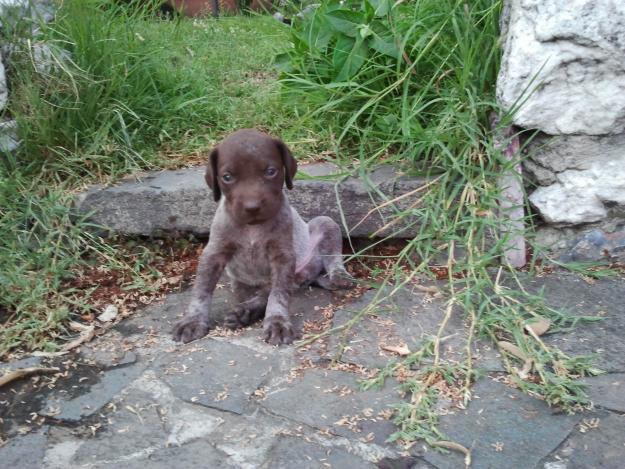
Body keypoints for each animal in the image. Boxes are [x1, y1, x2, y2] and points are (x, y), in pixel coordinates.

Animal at [173, 128, 354, 344]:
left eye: (270, 171)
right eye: (227, 177)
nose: (252, 207)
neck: (253, 227)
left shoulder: (282, 257)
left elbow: (278, 297)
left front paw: (277, 322)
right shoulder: (214, 254)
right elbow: (201, 291)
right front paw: (193, 320)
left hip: (324, 225)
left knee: (330, 259)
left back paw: (340, 276)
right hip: (241, 284)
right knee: (261, 296)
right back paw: (244, 313)